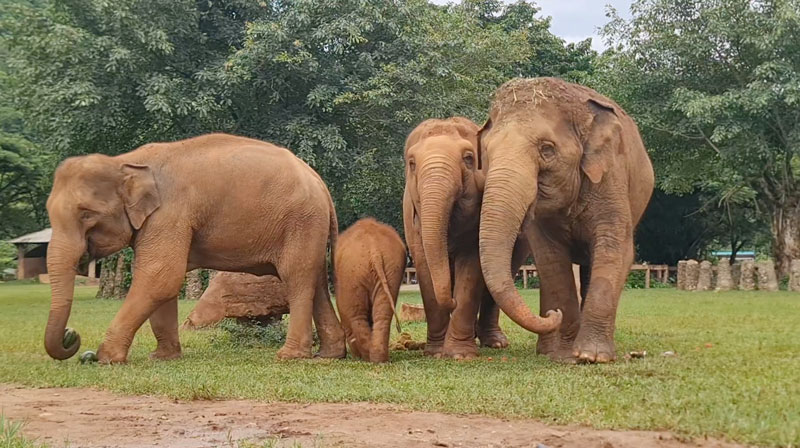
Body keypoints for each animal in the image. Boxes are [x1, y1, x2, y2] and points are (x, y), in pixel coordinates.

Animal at [43, 133, 344, 364]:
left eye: (86, 214)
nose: (73, 336)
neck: (123, 162)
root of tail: (320, 182)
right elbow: (164, 282)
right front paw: (162, 358)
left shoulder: (169, 213)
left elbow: (160, 276)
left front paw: (107, 358)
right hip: (309, 226)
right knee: (315, 281)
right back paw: (328, 355)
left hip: (301, 221)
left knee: (297, 278)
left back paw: (289, 356)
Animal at [334, 219, 406, 362]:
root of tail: (374, 250)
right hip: (391, 268)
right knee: (383, 314)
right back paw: (379, 359)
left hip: (353, 272)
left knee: (357, 316)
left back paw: (369, 357)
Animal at [404, 117, 560, 358]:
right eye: (412, 163)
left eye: (468, 159)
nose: (452, 301)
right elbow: (424, 266)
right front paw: (436, 352)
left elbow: (471, 266)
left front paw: (459, 355)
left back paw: (494, 342)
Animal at [478, 78, 652, 364]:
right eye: (488, 153)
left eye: (547, 149)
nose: (552, 315)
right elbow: (550, 257)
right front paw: (562, 354)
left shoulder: (611, 176)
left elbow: (615, 249)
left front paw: (592, 356)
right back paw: (547, 349)